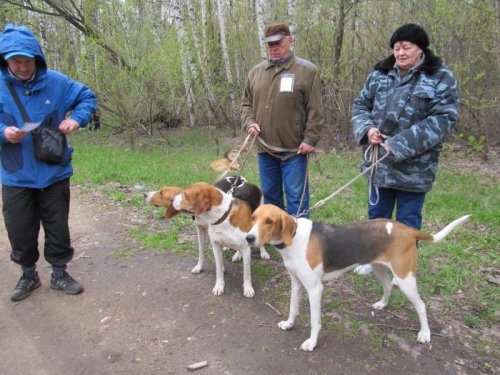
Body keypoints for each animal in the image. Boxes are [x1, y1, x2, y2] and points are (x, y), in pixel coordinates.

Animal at [244, 204, 470, 352]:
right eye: (253, 217)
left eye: (269, 221)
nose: (249, 238)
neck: (294, 237)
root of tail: (407, 229)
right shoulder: (297, 283)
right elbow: (293, 308)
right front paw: (289, 324)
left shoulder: (315, 289)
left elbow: (315, 321)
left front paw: (312, 343)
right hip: (379, 268)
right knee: (388, 286)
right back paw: (382, 305)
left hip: (405, 279)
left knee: (421, 306)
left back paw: (425, 334)